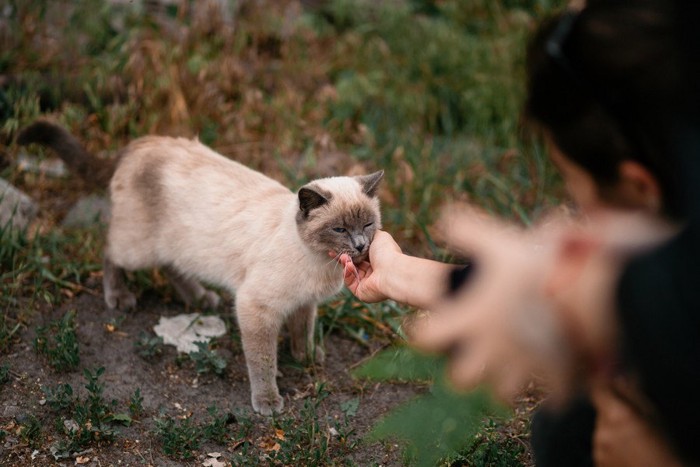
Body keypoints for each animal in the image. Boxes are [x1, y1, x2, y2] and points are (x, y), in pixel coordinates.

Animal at [19, 121, 382, 416]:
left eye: (367, 223)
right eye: (339, 229)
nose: (361, 245)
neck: (320, 261)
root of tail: (140, 143)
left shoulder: (304, 304)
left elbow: (302, 333)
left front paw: (306, 359)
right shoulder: (256, 307)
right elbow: (263, 361)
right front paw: (268, 402)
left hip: (177, 245)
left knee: (169, 265)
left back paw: (199, 298)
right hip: (138, 248)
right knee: (110, 252)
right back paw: (120, 297)